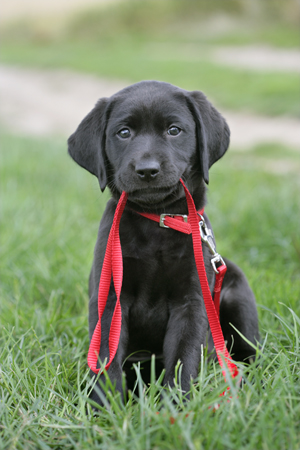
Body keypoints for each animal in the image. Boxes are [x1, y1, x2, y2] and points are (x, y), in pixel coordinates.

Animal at [67, 80, 258, 404]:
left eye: (174, 130)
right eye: (124, 133)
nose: (147, 170)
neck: (157, 220)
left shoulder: (192, 301)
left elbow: (184, 357)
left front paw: (177, 406)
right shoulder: (110, 297)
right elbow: (106, 356)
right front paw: (104, 407)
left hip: (237, 293)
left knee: (248, 352)